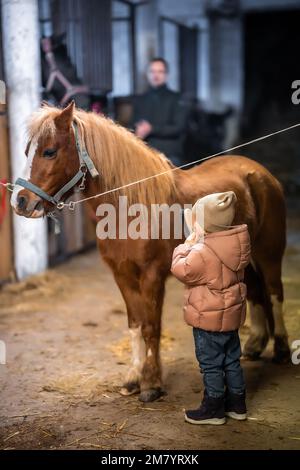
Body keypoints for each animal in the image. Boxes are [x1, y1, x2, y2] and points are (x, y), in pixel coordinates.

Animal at [12, 103, 290, 404]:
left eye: (49, 151)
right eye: (27, 151)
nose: (20, 201)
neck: (130, 209)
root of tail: (258, 171)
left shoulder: (152, 275)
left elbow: (151, 327)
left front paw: (152, 384)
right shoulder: (122, 275)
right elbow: (135, 324)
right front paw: (133, 379)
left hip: (269, 252)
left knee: (274, 292)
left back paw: (282, 350)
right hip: (241, 260)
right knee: (255, 292)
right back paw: (255, 345)